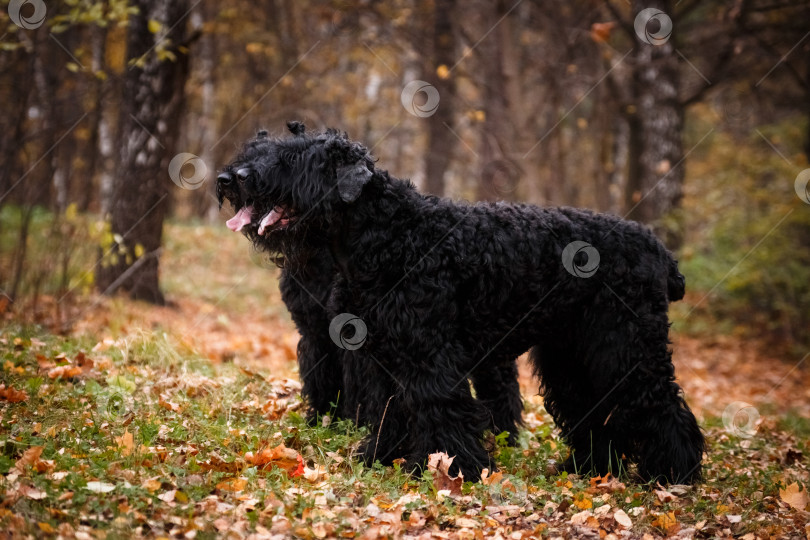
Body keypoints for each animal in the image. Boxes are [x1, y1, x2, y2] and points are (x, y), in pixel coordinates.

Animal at [218, 123, 704, 486]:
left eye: (296, 158)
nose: (231, 178)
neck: (387, 234)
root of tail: (660, 252)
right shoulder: (379, 358)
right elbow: (387, 409)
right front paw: (381, 458)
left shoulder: (428, 353)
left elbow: (439, 407)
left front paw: (452, 469)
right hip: (573, 356)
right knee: (594, 411)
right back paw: (589, 469)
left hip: (625, 347)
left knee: (661, 404)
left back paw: (672, 474)